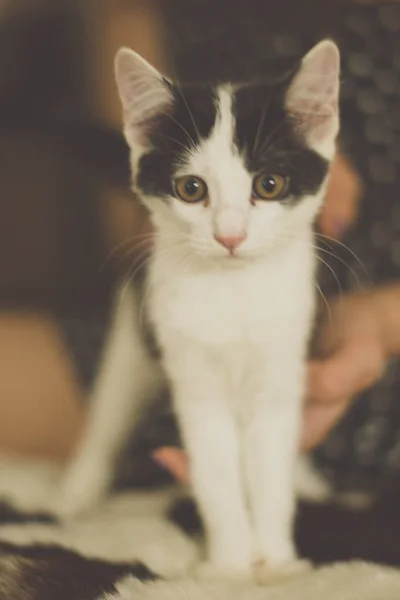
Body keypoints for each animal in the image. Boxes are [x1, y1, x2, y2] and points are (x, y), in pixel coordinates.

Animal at [59, 39, 340, 584]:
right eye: (192, 189)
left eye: (269, 184)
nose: (230, 235)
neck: (233, 292)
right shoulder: (192, 377)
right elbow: (216, 474)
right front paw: (231, 563)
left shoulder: (282, 361)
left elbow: (270, 468)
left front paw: (275, 559)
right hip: (134, 335)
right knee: (109, 412)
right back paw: (76, 491)